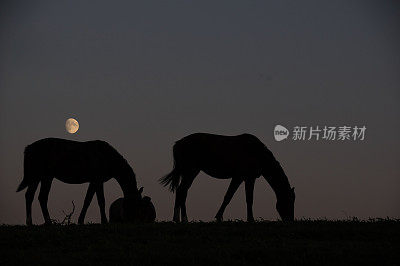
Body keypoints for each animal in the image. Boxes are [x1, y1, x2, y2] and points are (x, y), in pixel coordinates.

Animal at [161, 133, 296, 222]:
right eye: (289, 201)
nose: (290, 220)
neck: (258, 153)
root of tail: (178, 143)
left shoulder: (245, 178)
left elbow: (240, 198)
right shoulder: (242, 177)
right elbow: (235, 197)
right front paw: (249, 219)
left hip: (189, 172)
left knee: (181, 191)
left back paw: (178, 219)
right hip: (191, 171)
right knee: (182, 191)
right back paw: (183, 219)